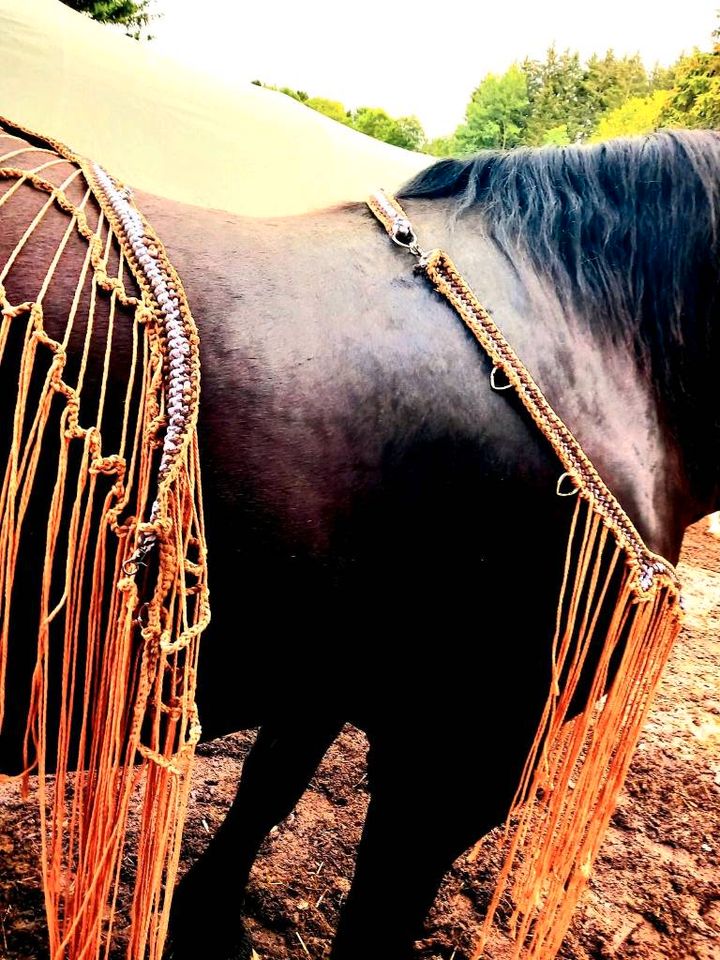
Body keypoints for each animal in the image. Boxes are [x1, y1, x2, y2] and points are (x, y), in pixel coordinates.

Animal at [1, 129, 720, 960]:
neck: (599, 338)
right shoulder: (457, 761)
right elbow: (376, 915)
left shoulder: (323, 670)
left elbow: (270, 785)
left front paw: (206, 921)